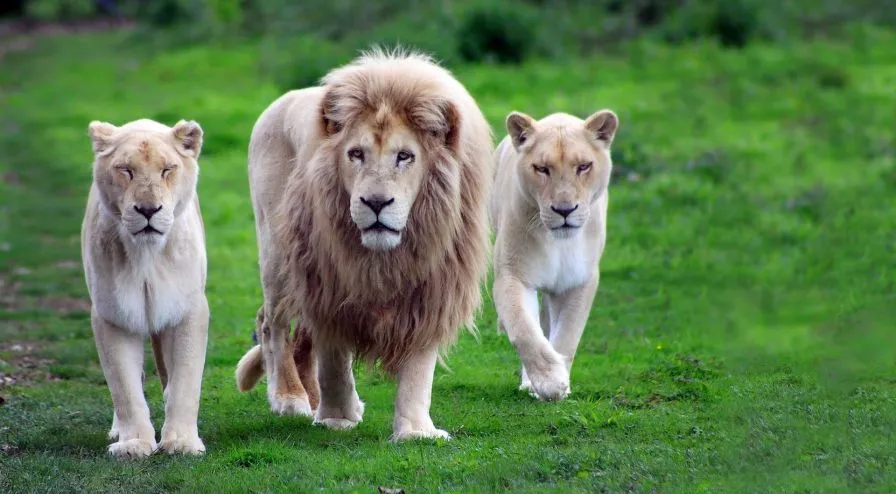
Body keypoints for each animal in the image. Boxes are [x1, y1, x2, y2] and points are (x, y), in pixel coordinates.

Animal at [81, 118, 209, 458]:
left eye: (167, 170)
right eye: (126, 170)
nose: (148, 210)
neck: (147, 255)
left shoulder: (188, 310)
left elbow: (185, 380)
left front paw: (182, 442)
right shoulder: (112, 314)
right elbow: (124, 386)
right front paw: (134, 443)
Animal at [234, 49, 493, 441]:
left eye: (405, 156)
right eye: (356, 154)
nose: (375, 202)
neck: (385, 258)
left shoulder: (432, 289)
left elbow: (418, 369)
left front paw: (416, 432)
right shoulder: (328, 285)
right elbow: (334, 361)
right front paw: (336, 419)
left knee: (301, 337)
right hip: (278, 254)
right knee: (272, 324)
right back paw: (290, 398)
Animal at [490, 109, 619, 401]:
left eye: (583, 166)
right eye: (541, 168)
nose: (564, 210)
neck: (559, 243)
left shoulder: (579, 281)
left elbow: (568, 335)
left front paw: (560, 383)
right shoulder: (513, 276)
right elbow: (524, 330)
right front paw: (549, 381)